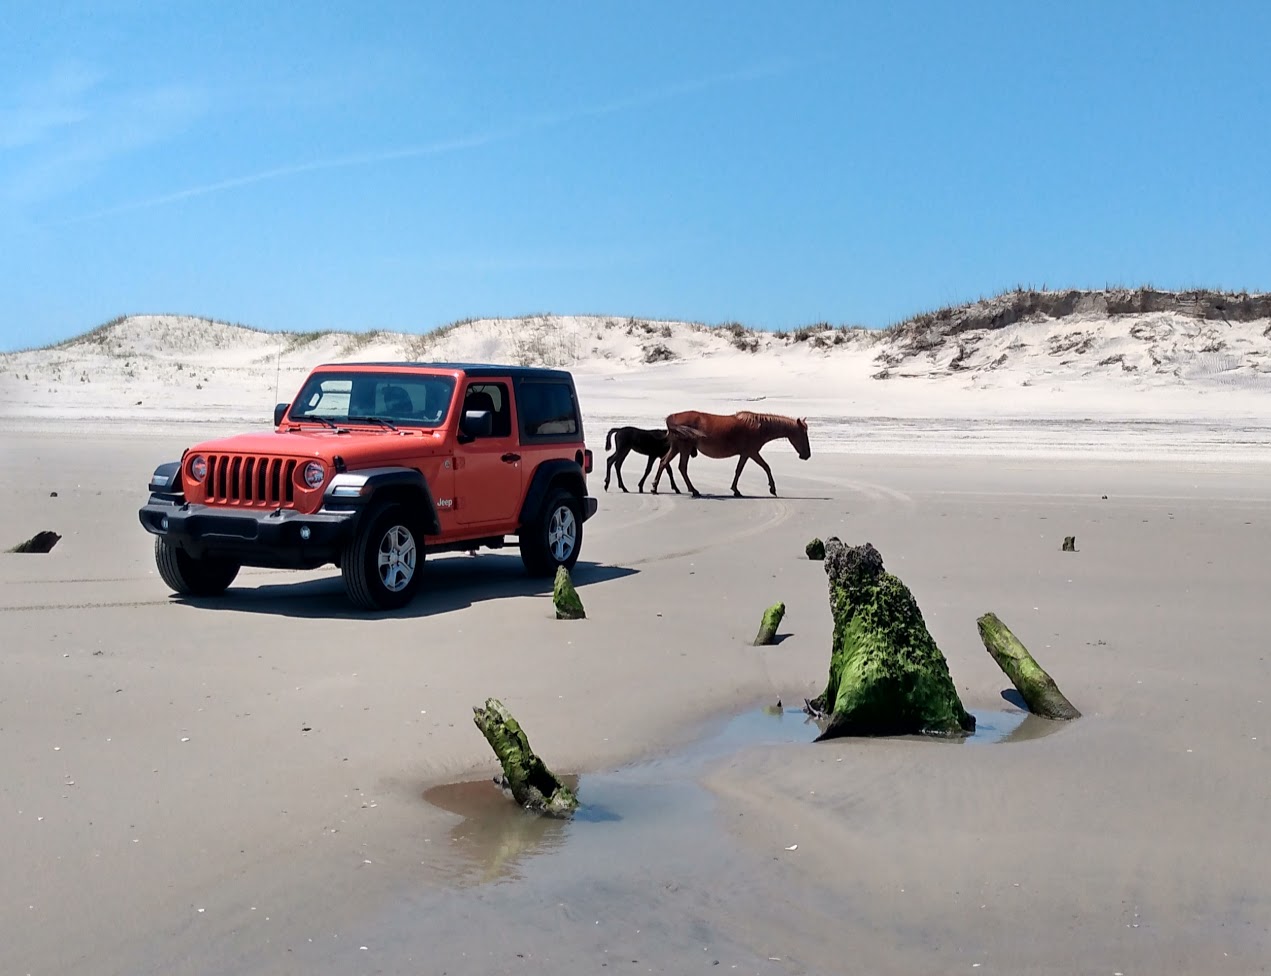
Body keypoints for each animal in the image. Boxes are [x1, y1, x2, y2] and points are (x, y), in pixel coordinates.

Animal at [650, 410, 811, 498]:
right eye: (803, 434)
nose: (807, 455)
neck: (759, 427)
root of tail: (672, 418)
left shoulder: (745, 454)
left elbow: (739, 470)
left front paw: (735, 490)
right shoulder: (752, 452)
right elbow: (766, 467)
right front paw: (772, 489)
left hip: (677, 448)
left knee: (664, 462)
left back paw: (654, 488)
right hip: (684, 448)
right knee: (681, 467)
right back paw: (694, 490)